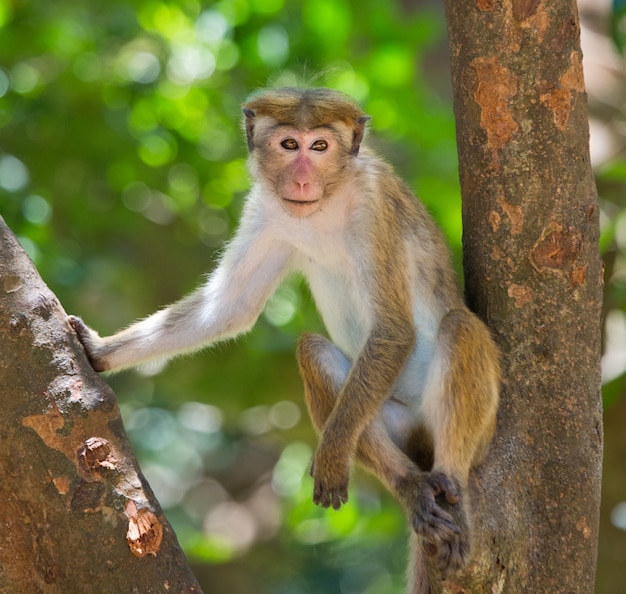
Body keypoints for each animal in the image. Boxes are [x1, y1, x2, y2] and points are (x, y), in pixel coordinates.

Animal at [68, 85, 498, 580]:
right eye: (289, 145)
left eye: (320, 146)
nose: (302, 180)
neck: (328, 202)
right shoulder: (266, 211)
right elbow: (230, 307)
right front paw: (100, 351)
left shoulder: (375, 204)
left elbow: (392, 329)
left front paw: (331, 453)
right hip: (397, 423)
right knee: (313, 352)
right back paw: (411, 487)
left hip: (472, 429)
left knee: (459, 327)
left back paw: (450, 482)